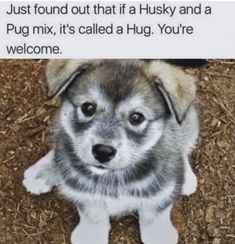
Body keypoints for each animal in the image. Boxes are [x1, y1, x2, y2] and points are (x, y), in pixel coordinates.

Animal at [22, 59, 198, 244]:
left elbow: (155, 211)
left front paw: (158, 233)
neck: (113, 178)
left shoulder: (162, 190)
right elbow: (92, 212)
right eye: (88, 108)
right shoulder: (85, 193)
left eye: (136, 118)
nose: (103, 151)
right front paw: (91, 234)